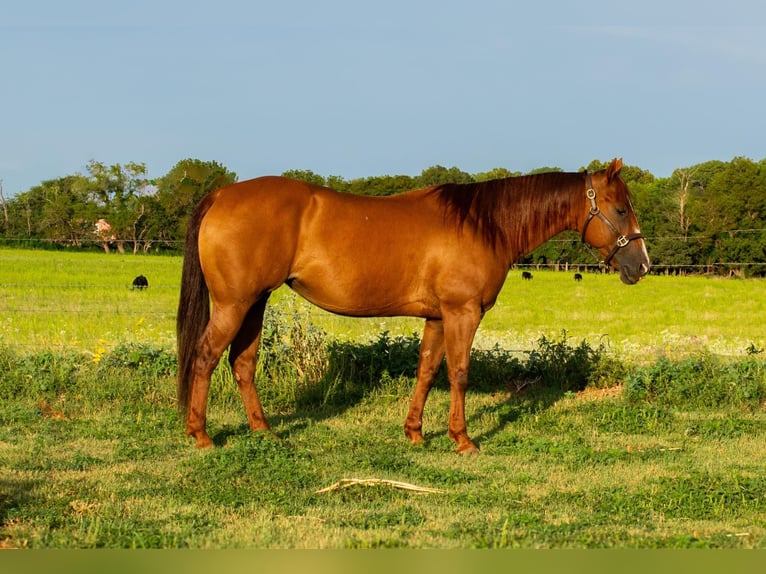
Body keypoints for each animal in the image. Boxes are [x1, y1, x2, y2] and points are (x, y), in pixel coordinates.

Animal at [176, 157, 650, 454]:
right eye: (620, 209)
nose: (641, 265)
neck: (484, 223)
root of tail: (221, 195)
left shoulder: (437, 317)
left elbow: (426, 371)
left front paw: (415, 433)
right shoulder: (462, 313)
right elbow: (459, 373)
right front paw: (463, 440)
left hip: (255, 302)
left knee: (242, 362)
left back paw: (264, 432)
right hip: (234, 304)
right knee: (205, 356)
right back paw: (200, 435)